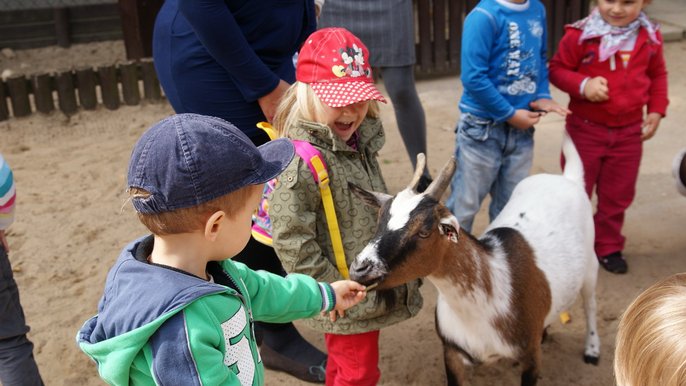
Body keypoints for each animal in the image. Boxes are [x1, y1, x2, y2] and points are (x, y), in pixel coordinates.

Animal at [352, 133, 600, 386]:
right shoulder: (452, 352)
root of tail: (567, 179)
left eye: (424, 231)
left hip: (591, 266)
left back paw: (592, 349)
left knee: (590, 304)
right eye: (379, 220)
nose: (360, 268)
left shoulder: (531, 357)